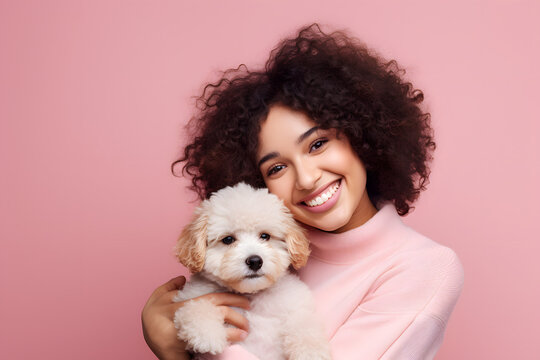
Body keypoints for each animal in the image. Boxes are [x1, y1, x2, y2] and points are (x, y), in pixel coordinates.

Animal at [175, 183, 332, 360]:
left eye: (265, 236)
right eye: (228, 239)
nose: (255, 261)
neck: (252, 293)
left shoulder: (295, 304)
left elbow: (304, 322)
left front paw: (311, 351)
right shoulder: (192, 296)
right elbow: (195, 307)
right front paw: (206, 334)